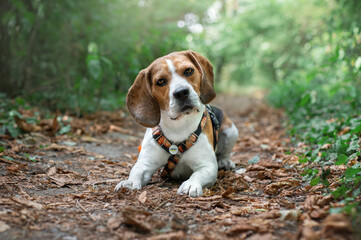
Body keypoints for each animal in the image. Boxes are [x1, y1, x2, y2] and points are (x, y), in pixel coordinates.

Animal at [114, 49, 238, 197]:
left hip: (232, 131)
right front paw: (129, 183)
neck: (178, 126)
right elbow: (136, 170)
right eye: (160, 81)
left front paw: (190, 184)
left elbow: (197, 174)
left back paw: (225, 161)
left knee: (225, 153)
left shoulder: (208, 166)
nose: (181, 92)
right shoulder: (146, 162)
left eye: (189, 71)